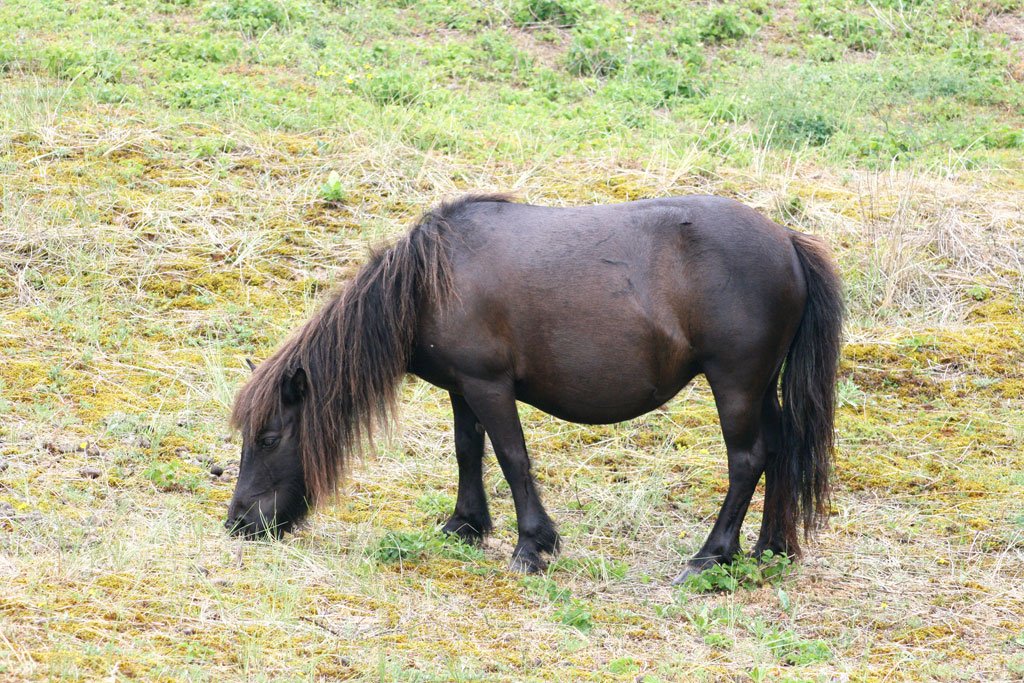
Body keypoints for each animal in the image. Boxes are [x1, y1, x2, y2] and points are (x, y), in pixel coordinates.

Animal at [228, 192, 843, 581]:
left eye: (269, 438)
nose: (239, 524)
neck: (432, 280)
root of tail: (787, 241)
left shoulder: (489, 387)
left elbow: (511, 458)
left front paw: (532, 545)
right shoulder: (462, 388)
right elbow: (468, 450)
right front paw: (465, 525)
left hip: (735, 384)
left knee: (748, 460)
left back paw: (711, 556)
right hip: (761, 388)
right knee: (781, 451)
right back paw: (770, 547)